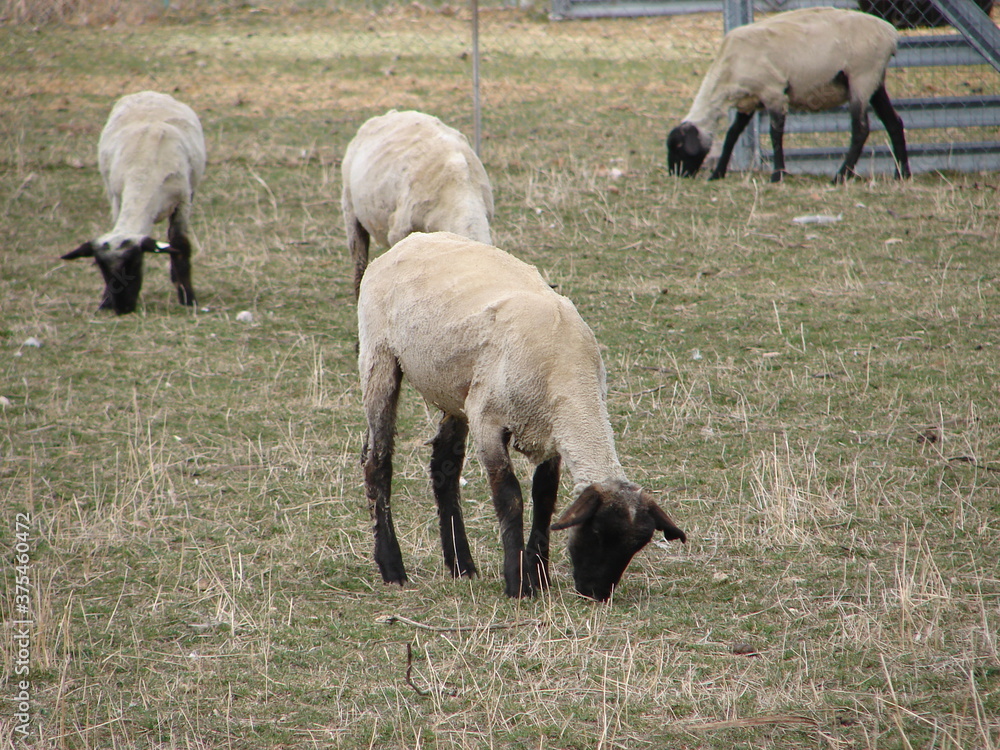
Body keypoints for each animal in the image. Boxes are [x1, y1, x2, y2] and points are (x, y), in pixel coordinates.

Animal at [62, 90, 206, 314]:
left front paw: (188, 298)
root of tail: (149, 92)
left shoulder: (182, 202)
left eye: (134, 264)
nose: (123, 308)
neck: (145, 172)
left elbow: (180, 244)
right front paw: (105, 301)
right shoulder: (116, 197)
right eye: (102, 268)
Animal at [358, 231, 686, 601]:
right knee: (378, 463)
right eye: (597, 532)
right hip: (379, 358)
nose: (596, 593)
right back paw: (392, 568)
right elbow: (510, 498)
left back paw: (462, 565)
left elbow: (544, 497)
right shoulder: (488, 420)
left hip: (455, 389)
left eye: (635, 546)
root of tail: (411, 240)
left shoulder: (552, 430)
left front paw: (538, 574)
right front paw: (518, 583)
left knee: (444, 469)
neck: (568, 368)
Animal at [666, 7, 910, 184]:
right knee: (894, 122)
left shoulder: (773, 92)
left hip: (862, 77)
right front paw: (717, 173)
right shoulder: (750, 101)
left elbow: (775, 134)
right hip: (875, 81)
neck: (728, 70)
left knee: (861, 128)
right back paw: (902, 175)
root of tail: (891, 33)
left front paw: (777, 175)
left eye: (678, 147)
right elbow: (732, 135)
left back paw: (840, 177)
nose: (675, 174)